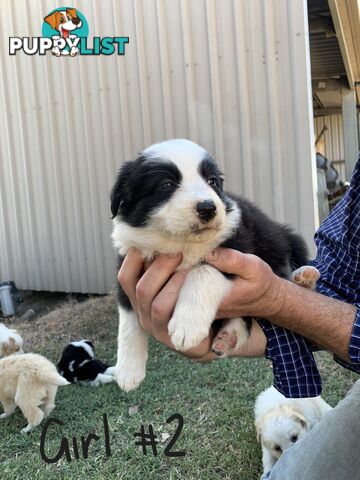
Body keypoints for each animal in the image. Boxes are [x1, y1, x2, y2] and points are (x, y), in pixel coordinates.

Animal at [111, 137, 320, 392]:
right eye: (166, 184)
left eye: (211, 181)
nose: (208, 207)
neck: (180, 243)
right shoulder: (128, 268)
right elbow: (128, 317)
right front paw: (127, 370)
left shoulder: (239, 249)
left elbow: (203, 270)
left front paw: (187, 325)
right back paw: (228, 336)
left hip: (288, 238)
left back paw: (305, 276)